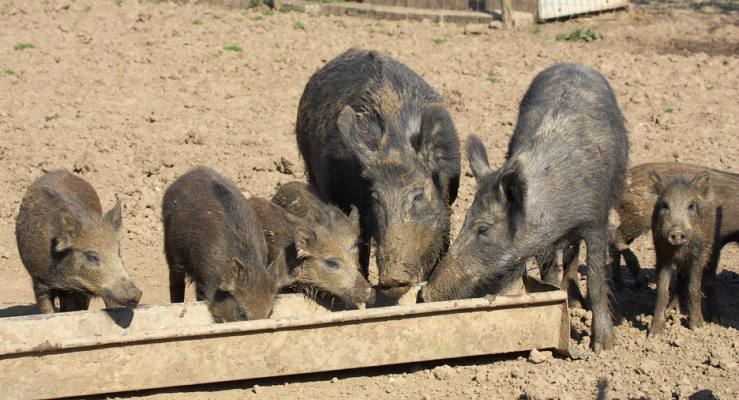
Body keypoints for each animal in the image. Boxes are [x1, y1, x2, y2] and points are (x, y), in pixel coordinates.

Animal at [15, 169, 142, 313]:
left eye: (118, 251)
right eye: (92, 256)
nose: (136, 294)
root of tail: (60, 170)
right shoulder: (39, 283)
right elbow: (47, 311)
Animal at [419, 63, 629, 353]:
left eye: (483, 229)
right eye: (465, 218)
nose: (425, 293)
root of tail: (572, 63)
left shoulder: (596, 220)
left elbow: (597, 279)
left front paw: (604, 347)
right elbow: (535, 274)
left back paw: (577, 305)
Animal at [647, 170, 720, 336]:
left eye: (690, 205)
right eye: (665, 205)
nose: (677, 232)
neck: (679, 249)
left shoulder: (698, 256)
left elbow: (694, 287)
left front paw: (698, 327)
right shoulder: (662, 256)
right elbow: (662, 289)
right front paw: (654, 334)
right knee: (681, 278)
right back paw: (674, 310)